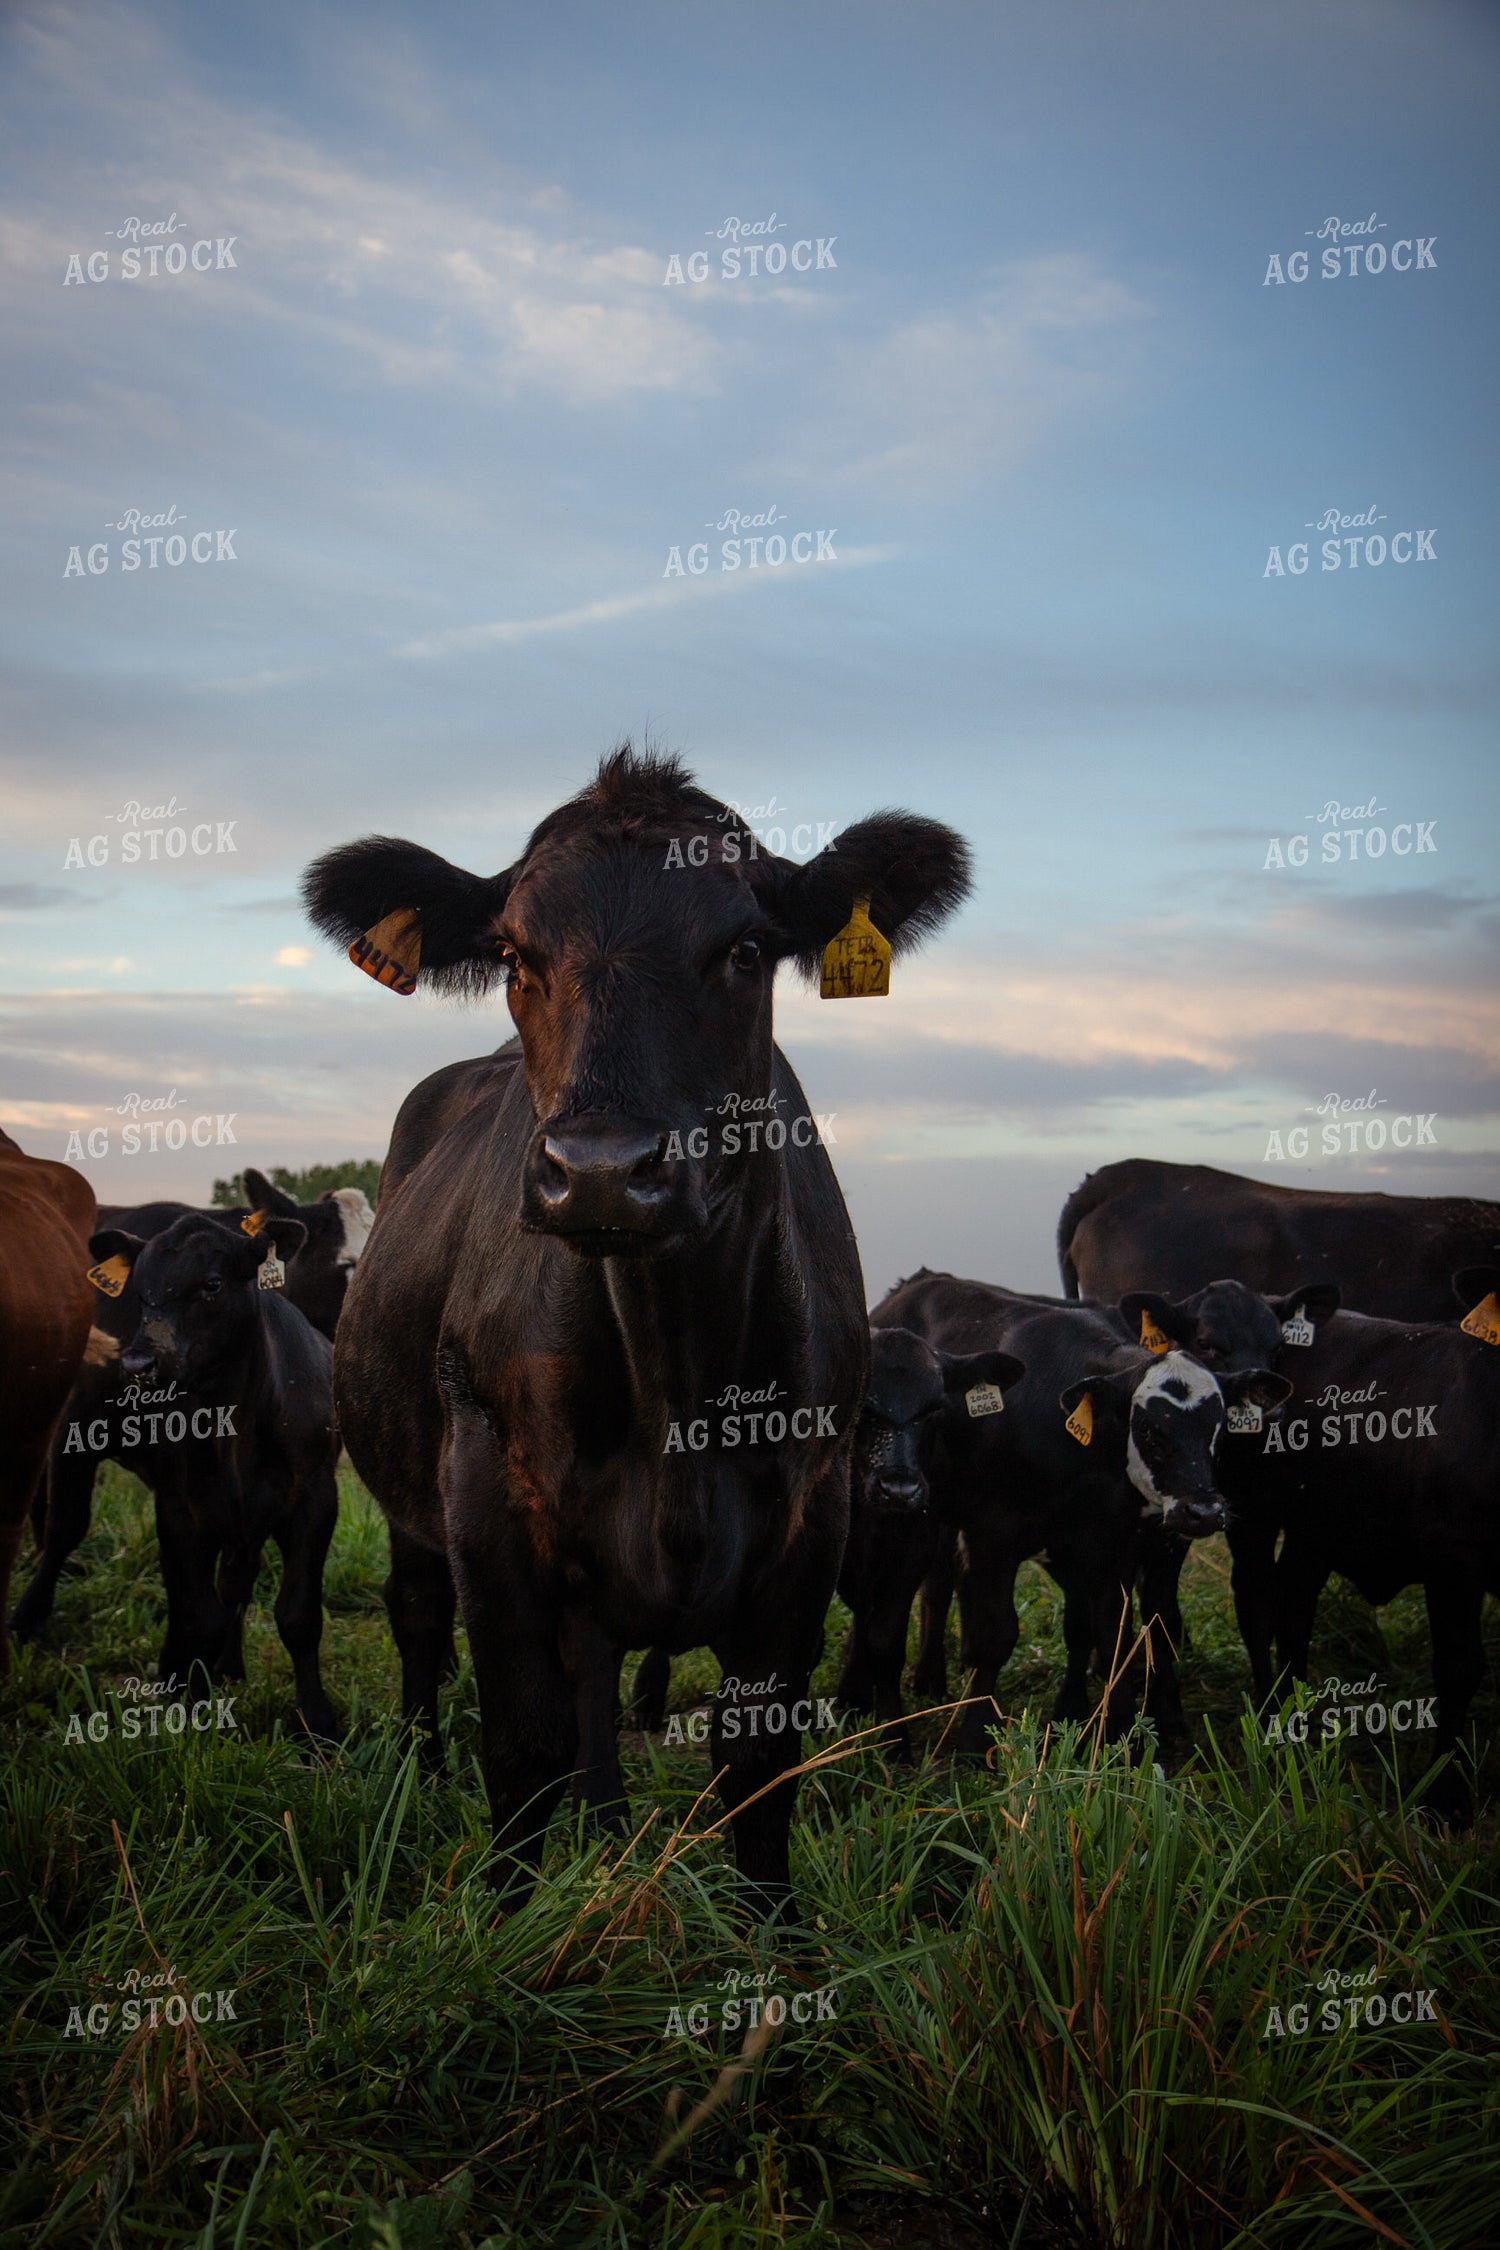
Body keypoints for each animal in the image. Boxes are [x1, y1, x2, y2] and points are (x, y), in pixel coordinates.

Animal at [70, 1212, 340, 1731]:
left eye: (211, 1284)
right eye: (141, 1294)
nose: (139, 1363)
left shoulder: (315, 1500)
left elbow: (298, 1615)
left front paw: (316, 1719)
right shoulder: (180, 1509)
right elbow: (200, 1615)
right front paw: (194, 1703)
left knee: (236, 1586)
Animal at [301, 745, 971, 1918]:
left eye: (745, 948)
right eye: (513, 952)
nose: (605, 1170)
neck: (673, 1377)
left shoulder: (813, 1510)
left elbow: (757, 1761)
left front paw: (774, 1944)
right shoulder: (488, 1487)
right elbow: (521, 1745)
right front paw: (506, 1937)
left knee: (595, 1673)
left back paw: (609, 1825)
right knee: (423, 1616)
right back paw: (421, 1773)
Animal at [855, 1274, 1322, 1746]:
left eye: (1218, 1427)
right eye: (1148, 1429)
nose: (1205, 1511)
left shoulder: (1121, 1543)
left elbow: (1122, 1627)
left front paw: (1124, 1723)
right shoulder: (994, 1533)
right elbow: (997, 1633)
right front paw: (973, 1734)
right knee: (937, 1585)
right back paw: (926, 1679)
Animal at [1215, 1269, 1500, 1825]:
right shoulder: (1453, 1557)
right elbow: (1459, 1666)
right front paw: (1445, 1797)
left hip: (1313, 1532)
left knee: (1294, 1610)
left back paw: (1298, 1721)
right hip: (1253, 1517)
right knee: (1257, 1603)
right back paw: (1274, 1723)